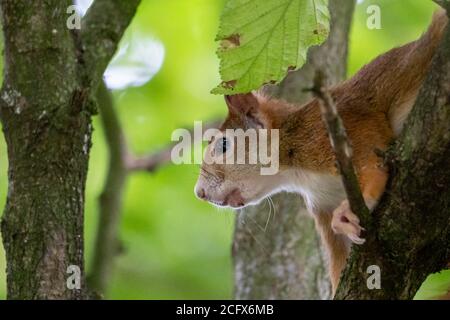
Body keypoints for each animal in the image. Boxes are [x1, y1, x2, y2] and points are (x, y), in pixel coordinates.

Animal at [195, 11, 448, 294]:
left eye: (224, 145)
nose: (199, 192)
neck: (297, 173)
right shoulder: (322, 204)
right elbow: (339, 258)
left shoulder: (339, 130)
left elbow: (373, 163)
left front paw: (348, 211)